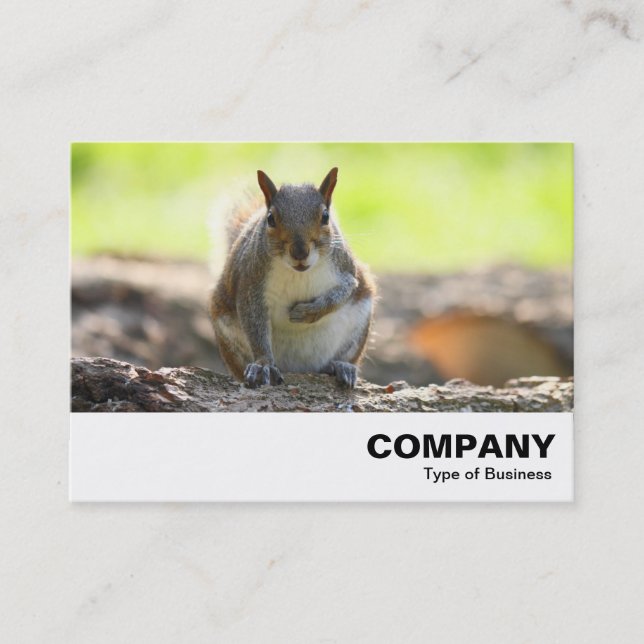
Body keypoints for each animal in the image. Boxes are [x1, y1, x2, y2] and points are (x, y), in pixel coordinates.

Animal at [209, 167, 375, 389]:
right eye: (270, 218)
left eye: (325, 216)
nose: (300, 252)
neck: (299, 273)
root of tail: (299, 369)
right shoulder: (250, 284)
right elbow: (255, 326)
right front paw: (263, 364)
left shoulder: (346, 271)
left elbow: (343, 292)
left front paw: (308, 312)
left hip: (358, 326)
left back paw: (339, 366)